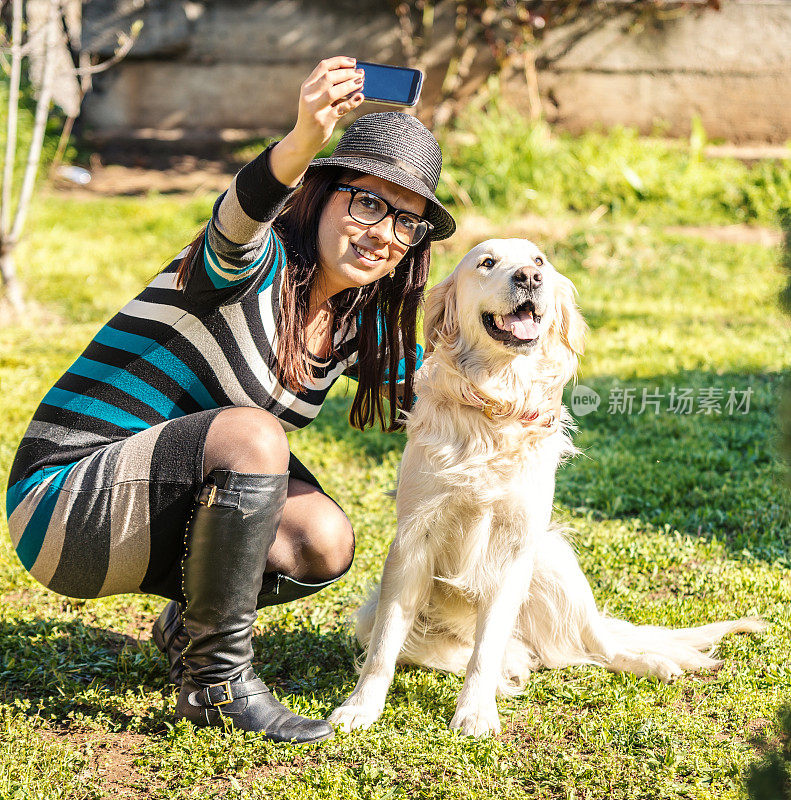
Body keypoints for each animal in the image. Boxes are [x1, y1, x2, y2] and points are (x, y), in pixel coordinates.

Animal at [330, 239, 768, 736]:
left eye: (539, 262)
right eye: (487, 263)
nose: (529, 278)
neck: (496, 406)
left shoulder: (515, 546)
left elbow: (486, 648)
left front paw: (475, 711)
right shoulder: (412, 540)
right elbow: (384, 648)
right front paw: (361, 708)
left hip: (557, 563)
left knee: (597, 644)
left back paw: (651, 662)